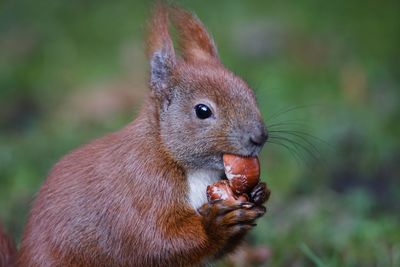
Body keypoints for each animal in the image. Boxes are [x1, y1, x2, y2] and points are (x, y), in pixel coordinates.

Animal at [1, 2, 270, 267]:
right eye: (202, 111)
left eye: (250, 92)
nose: (260, 137)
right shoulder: (143, 186)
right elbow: (157, 239)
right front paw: (215, 226)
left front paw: (260, 192)